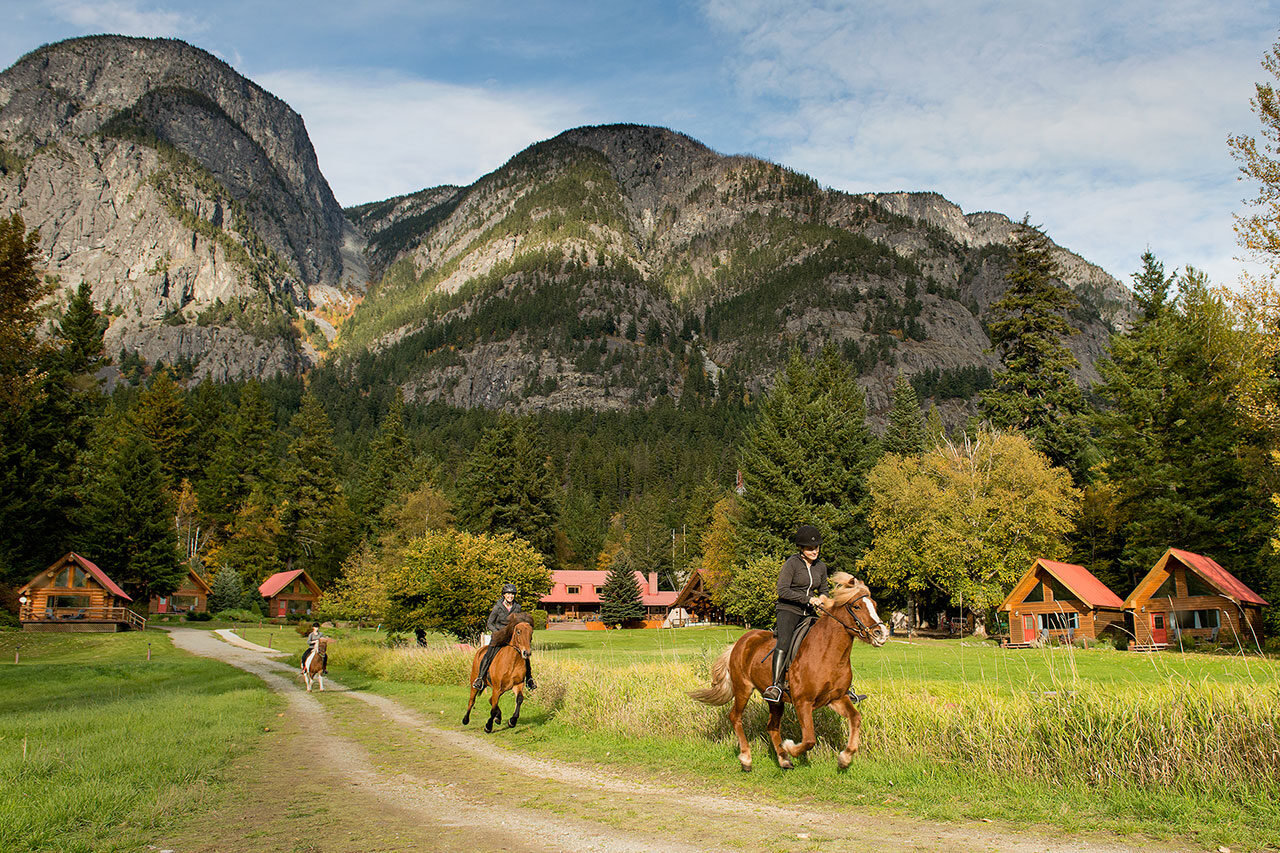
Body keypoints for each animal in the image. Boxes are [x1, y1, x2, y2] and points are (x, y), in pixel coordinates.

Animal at [691, 571, 890, 768]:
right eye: (856, 606)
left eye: (874, 605)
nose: (882, 634)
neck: (829, 655)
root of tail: (740, 642)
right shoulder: (803, 702)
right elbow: (809, 739)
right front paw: (790, 747)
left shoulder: (836, 698)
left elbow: (855, 718)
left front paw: (845, 757)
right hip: (743, 689)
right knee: (735, 717)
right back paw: (747, 758)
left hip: (774, 700)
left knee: (772, 726)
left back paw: (783, 759)